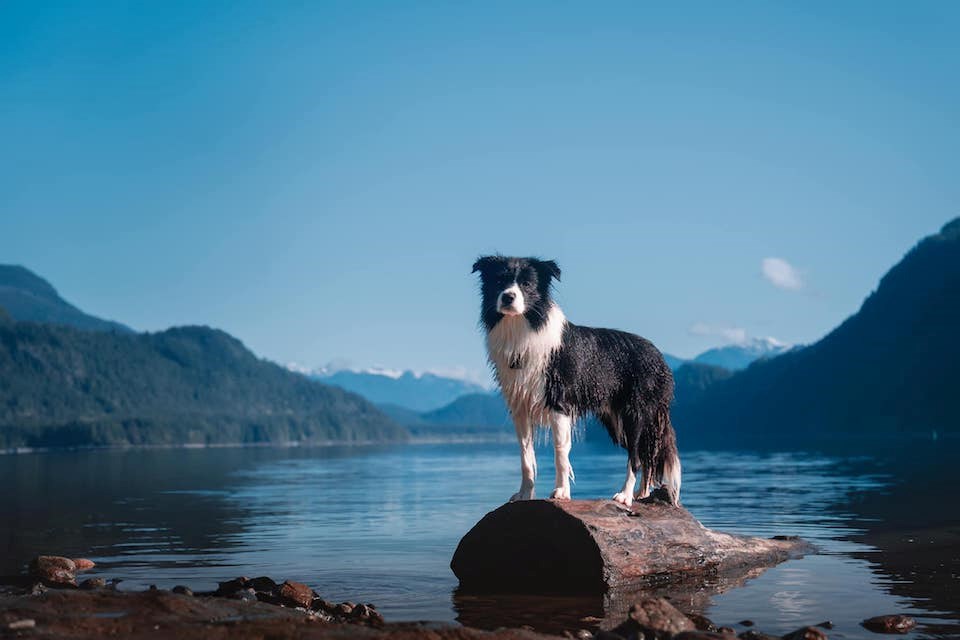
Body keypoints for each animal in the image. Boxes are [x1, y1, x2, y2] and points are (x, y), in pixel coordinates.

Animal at [472, 252, 684, 508]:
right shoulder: (520, 407)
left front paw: (562, 492)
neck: (524, 327)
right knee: (645, 456)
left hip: (635, 413)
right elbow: (526, 456)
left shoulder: (559, 404)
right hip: (616, 421)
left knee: (635, 457)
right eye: (499, 281)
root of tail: (659, 356)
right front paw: (524, 494)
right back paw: (640, 495)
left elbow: (560, 452)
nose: (508, 297)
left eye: (527, 284)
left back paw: (624, 496)